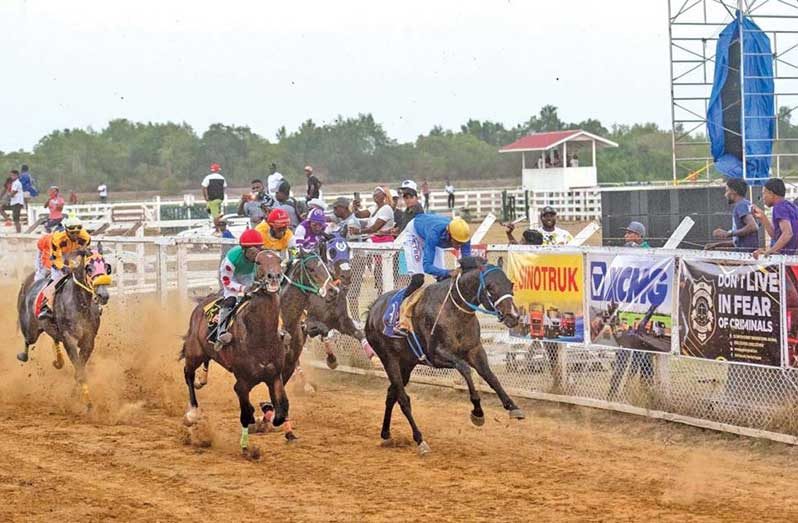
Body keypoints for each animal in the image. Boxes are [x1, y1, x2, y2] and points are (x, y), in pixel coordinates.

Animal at [16, 247, 112, 410]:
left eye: (106, 267)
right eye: (89, 268)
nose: (103, 295)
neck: (81, 304)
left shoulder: (89, 340)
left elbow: (79, 371)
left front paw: (75, 396)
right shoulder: (69, 338)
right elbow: (80, 370)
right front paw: (88, 403)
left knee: (55, 338)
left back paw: (59, 361)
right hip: (31, 330)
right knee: (28, 341)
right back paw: (23, 355)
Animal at [366, 256, 528, 454]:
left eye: (510, 284)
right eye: (490, 287)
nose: (514, 317)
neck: (455, 311)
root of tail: (372, 309)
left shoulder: (475, 350)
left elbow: (491, 377)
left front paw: (512, 407)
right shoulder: (437, 356)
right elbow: (465, 369)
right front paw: (477, 411)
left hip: (406, 363)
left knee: (391, 395)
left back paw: (386, 435)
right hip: (389, 359)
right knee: (403, 399)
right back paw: (420, 440)